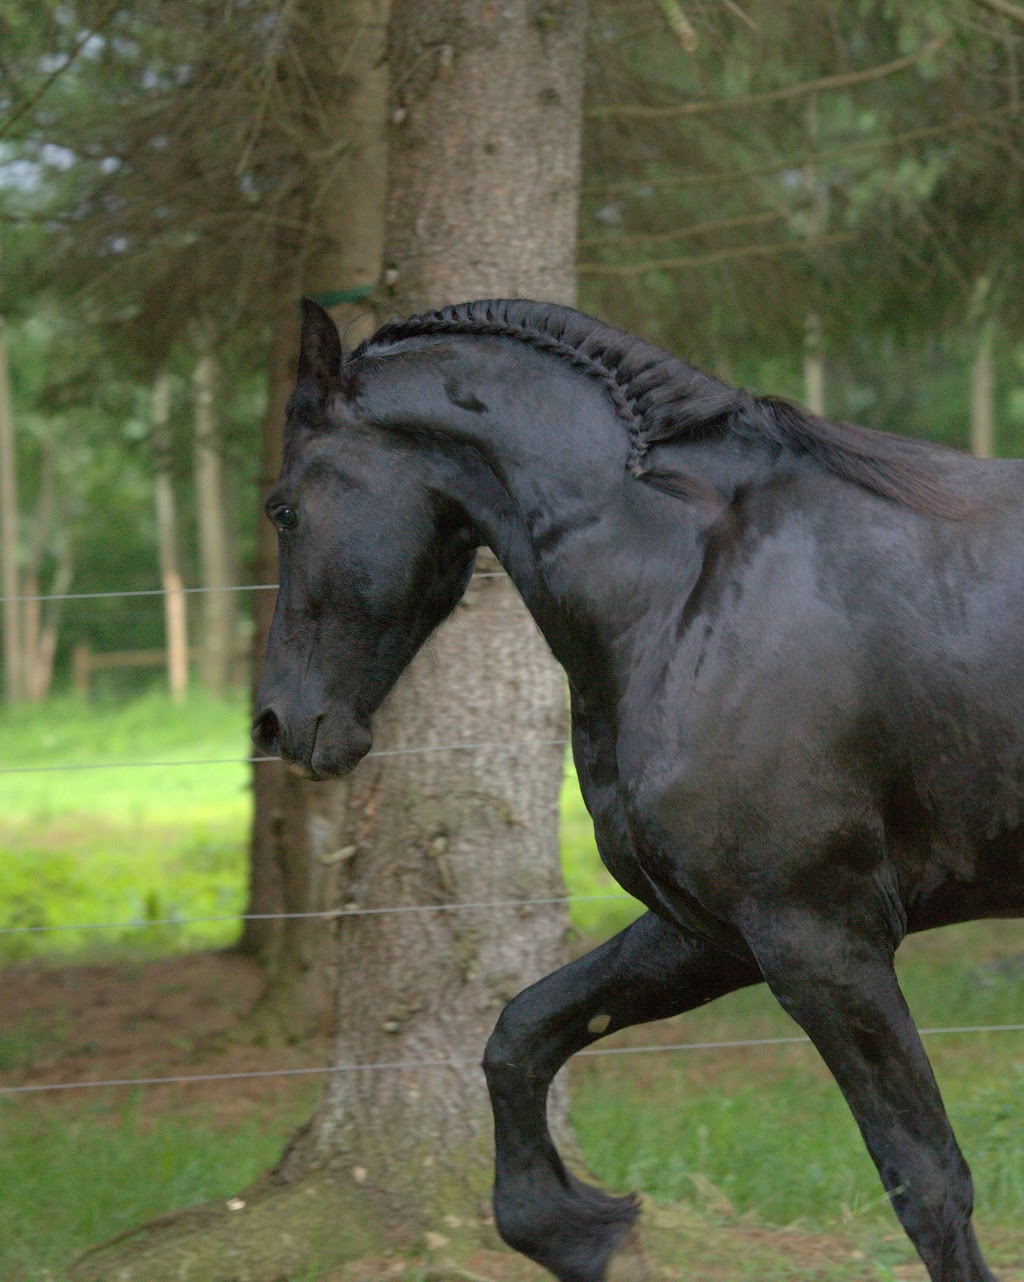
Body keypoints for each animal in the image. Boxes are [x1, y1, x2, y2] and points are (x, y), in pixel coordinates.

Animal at [253, 297, 1024, 1282]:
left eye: (283, 508)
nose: (277, 723)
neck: (690, 590)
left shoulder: (822, 940)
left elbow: (927, 1183)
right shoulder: (714, 931)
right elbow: (520, 1033)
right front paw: (585, 1234)